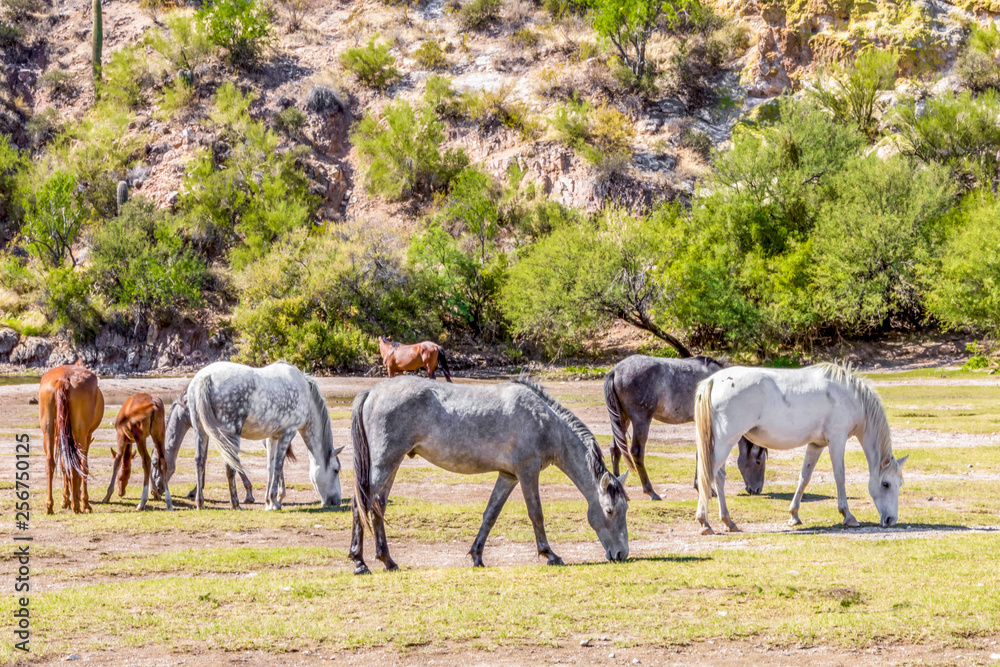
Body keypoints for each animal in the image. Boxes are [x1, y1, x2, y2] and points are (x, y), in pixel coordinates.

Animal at [39, 364, 105, 514]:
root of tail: (63, 378)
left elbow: (64, 465)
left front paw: (65, 499)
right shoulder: (86, 437)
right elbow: (83, 467)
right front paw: (84, 503)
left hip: (48, 430)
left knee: (50, 463)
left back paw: (50, 505)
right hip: (81, 434)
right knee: (78, 464)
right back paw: (77, 505)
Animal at [182, 361, 343, 511]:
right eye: (336, 470)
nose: (336, 501)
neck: (306, 395)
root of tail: (206, 377)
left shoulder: (273, 437)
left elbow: (270, 468)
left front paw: (268, 502)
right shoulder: (288, 433)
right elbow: (278, 466)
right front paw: (275, 502)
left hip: (201, 431)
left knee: (200, 462)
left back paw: (200, 503)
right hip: (231, 433)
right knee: (230, 467)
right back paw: (235, 504)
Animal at [349, 375, 630, 574]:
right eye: (609, 511)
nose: (621, 554)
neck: (544, 422)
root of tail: (372, 392)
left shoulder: (508, 476)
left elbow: (490, 515)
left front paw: (477, 556)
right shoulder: (527, 473)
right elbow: (536, 514)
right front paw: (550, 554)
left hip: (391, 464)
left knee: (377, 507)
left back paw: (388, 560)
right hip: (384, 463)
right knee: (360, 503)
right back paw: (359, 562)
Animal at [604, 355, 768, 500]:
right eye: (759, 461)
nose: (757, 490)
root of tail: (615, 371)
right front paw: (707, 490)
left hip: (622, 419)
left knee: (616, 449)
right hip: (641, 420)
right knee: (636, 452)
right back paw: (651, 492)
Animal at [694, 363, 908, 535]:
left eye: (900, 484)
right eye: (886, 484)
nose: (891, 520)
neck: (850, 396)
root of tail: (713, 380)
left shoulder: (816, 444)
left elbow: (804, 478)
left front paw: (794, 515)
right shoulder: (837, 440)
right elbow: (840, 476)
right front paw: (848, 516)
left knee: (719, 478)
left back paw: (728, 522)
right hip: (725, 443)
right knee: (709, 476)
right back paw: (704, 522)